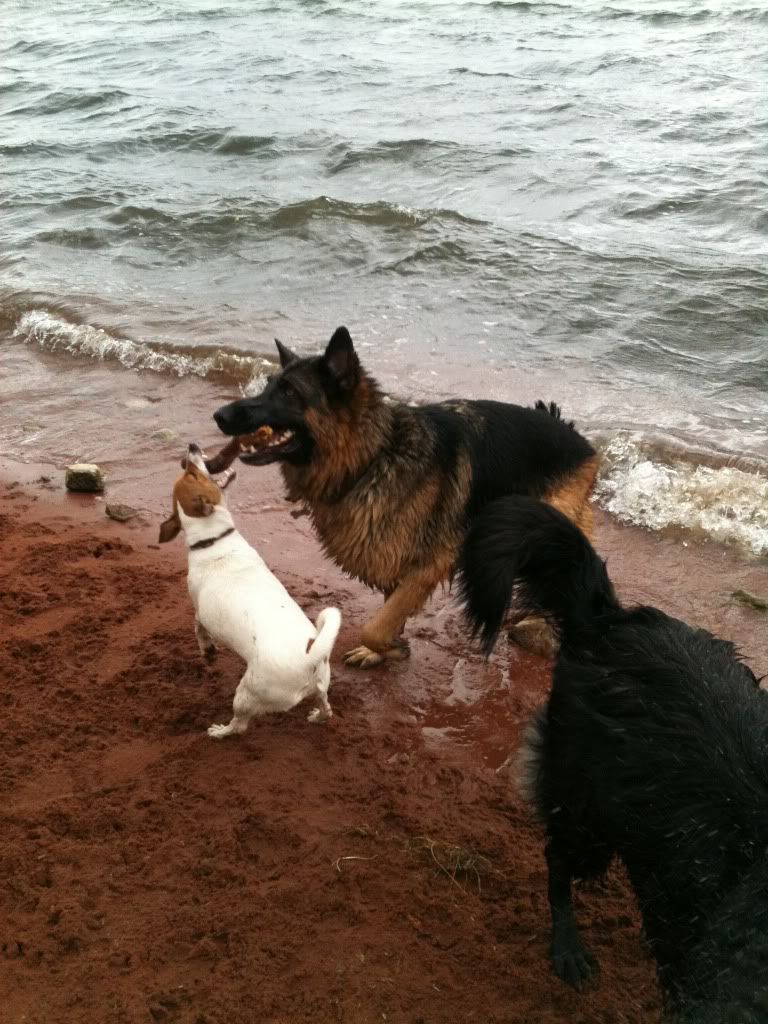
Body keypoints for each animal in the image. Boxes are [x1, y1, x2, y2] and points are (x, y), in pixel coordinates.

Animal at [157, 444, 342, 741]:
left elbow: (198, 628)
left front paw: (208, 651)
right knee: (326, 707)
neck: (213, 541)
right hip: (321, 686)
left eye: (192, 473)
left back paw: (220, 731)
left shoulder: (200, 610)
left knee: (240, 725)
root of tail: (309, 657)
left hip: (245, 694)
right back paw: (317, 716)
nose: (190, 449)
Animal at [207, 323, 598, 667]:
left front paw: (390, 648)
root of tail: (574, 434)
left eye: (289, 392)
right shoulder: (391, 551)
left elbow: (374, 626)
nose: (219, 415)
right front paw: (384, 651)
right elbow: (388, 612)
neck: (374, 456)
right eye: (268, 386)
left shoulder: (432, 562)